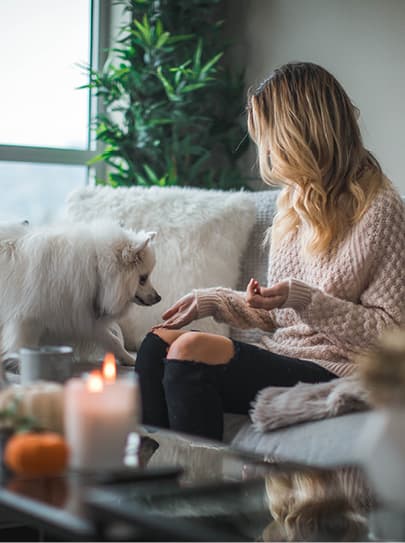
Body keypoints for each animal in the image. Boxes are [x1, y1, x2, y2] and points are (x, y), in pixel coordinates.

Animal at [0, 220, 160, 366]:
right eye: (143, 278)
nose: (159, 298)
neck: (96, 269)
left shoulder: (80, 315)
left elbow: (112, 340)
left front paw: (128, 359)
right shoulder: (28, 319)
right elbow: (24, 345)